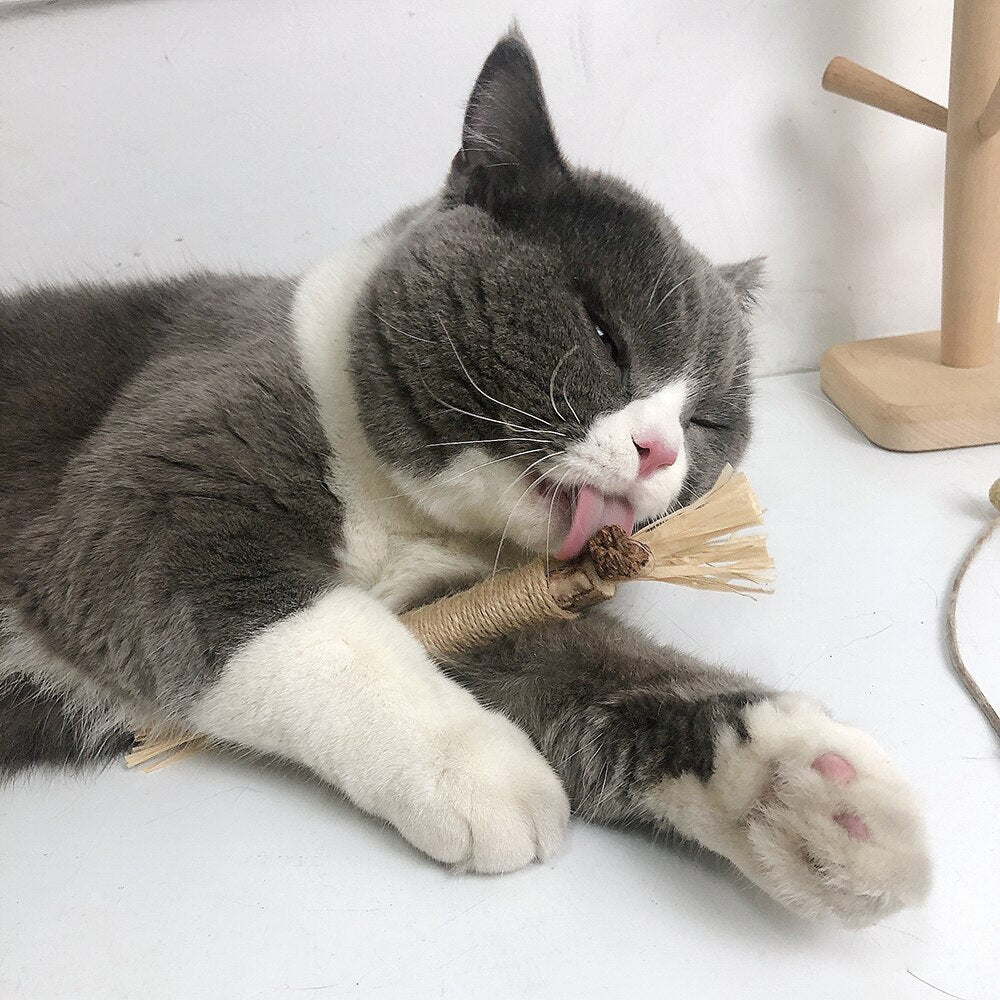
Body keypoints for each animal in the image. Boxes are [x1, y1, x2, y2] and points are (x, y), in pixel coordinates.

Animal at [0, 31, 928, 928]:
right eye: (605, 336)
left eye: (709, 421)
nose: (661, 450)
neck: (400, 511)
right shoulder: (155, 488)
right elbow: (316, 632)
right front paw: (477, 765)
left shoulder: (475, 597)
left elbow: (591, 671)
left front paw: (807, 791)